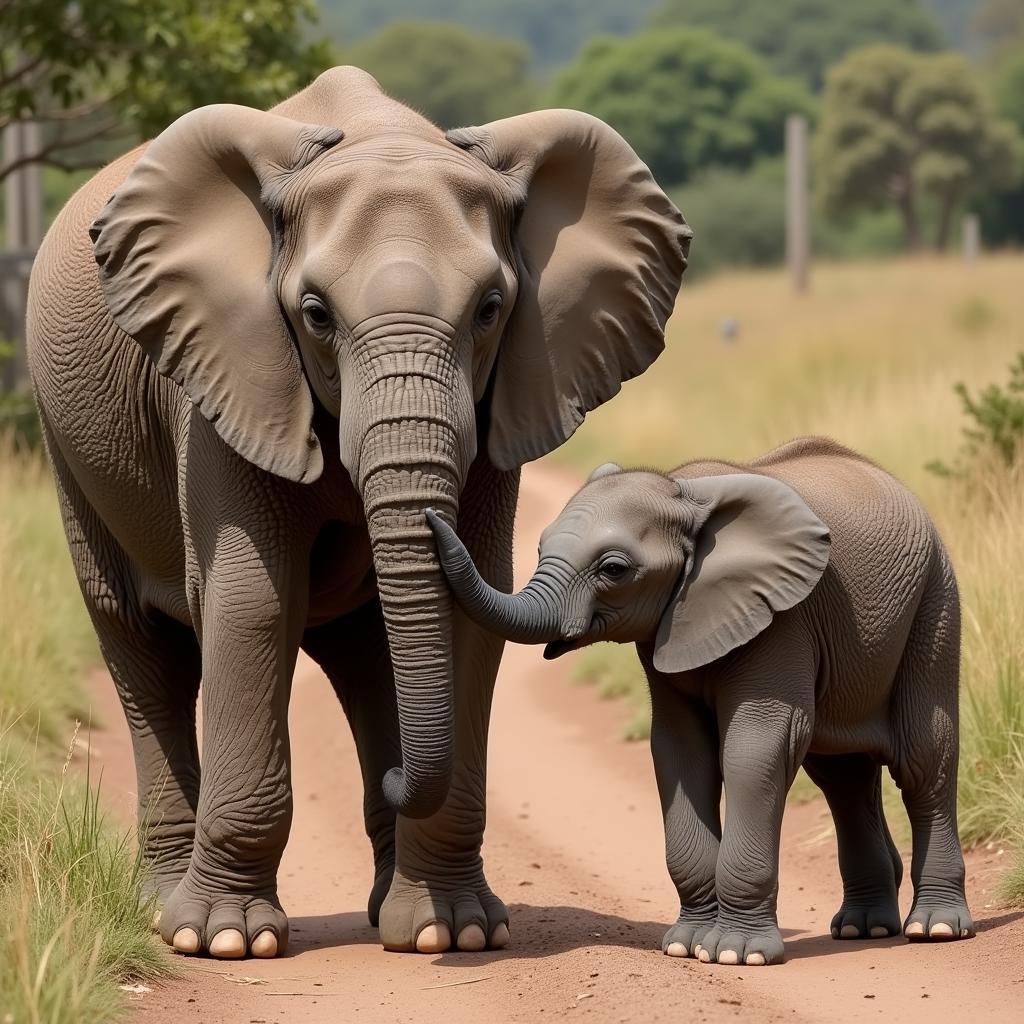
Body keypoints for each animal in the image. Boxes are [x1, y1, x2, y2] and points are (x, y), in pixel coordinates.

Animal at [28, 66, 692, 958]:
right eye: (314, 314)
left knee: (366, 657)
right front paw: (228, 941)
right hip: (68, 447)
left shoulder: (507, 396)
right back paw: (166, 913)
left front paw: (455, 933)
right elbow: (252, 602)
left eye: (491, 309)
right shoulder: (223, 371)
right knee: (141, 646)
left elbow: (469, 609)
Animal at [425, 440, 974, 966]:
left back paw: (935, 928)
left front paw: (736, 953)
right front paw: (687, 946)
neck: (684, 494)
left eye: (614, 569)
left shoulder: (784, 617)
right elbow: (679, 752)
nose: (432, 517)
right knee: (843, 776)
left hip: (935, 599)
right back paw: (867, 929)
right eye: (539, 546)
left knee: (923, 760)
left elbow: (756, 749)